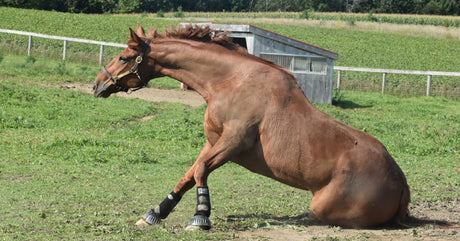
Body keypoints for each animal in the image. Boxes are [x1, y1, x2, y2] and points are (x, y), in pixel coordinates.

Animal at [93, 24, 410, 230]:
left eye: (123, 57)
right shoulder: (214, 141)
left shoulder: (234, 142)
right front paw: (154, 214)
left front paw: (200, 217)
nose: (97, 84)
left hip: (322, 205)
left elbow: (200, 171)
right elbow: (188, 175)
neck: (230, 81)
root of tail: (401, 182)